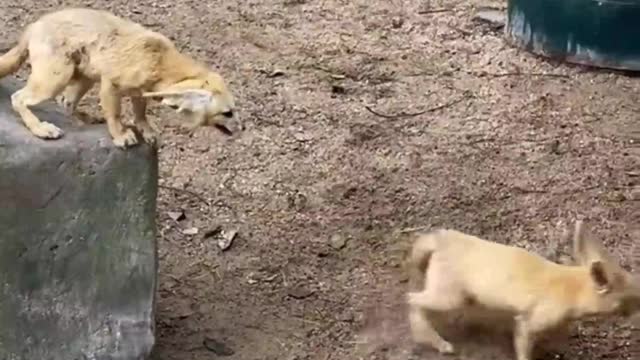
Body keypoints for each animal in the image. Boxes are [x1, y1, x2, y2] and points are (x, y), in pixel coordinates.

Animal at [0, 7, 238, 148]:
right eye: (227, 113)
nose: (242, 129)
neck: (161, 60)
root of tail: (34, 25)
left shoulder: (140, 91)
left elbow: (140, 113)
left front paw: (146, 130)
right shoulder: (110, 83)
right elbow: (115, 114)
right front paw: (121, 135)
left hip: (83, 75)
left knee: (65, 102)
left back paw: (82, 118)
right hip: (57, 75)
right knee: (18, 98)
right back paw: (41, 129)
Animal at [404, 219, 640, 360]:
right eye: (632, 298)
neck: (572, 289)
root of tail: (438, 240)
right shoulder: (529, 321)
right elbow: (524, 348)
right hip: (451, 297)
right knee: (411, 299)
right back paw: (436, 342)